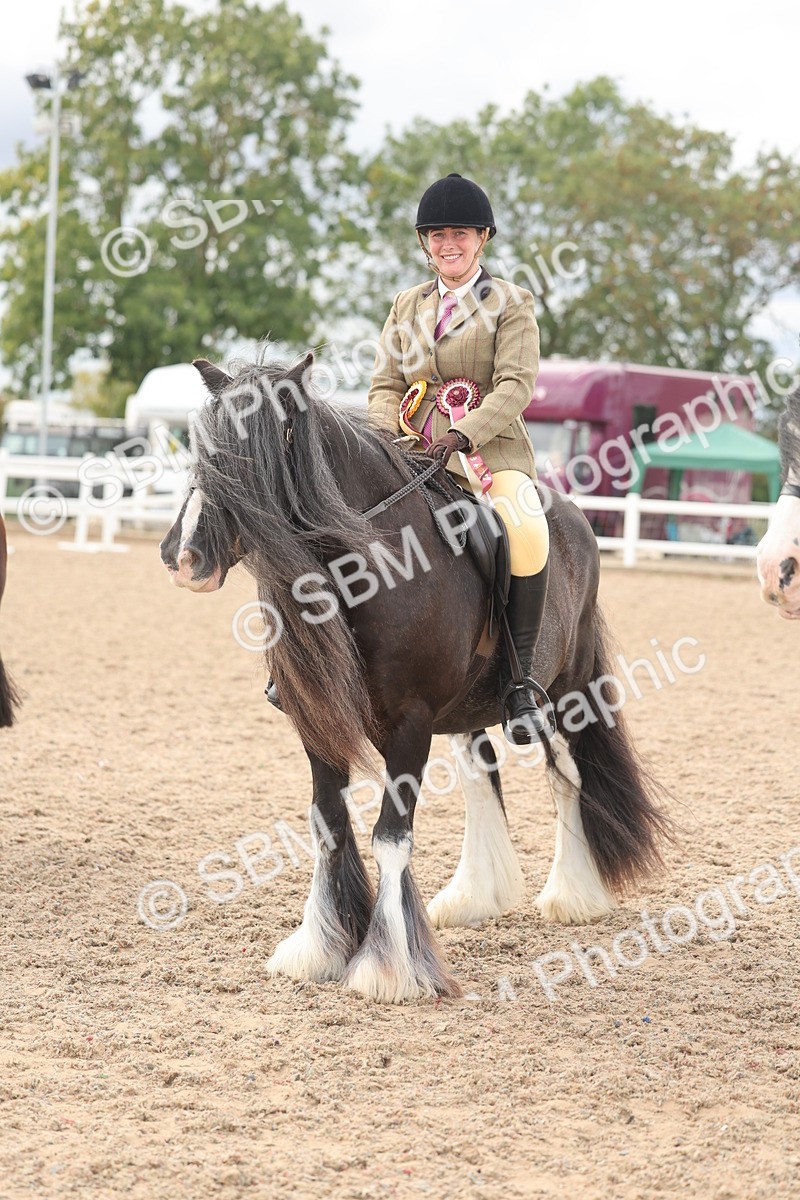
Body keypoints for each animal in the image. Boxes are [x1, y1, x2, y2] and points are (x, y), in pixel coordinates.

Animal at [160, 353, 672, 1003]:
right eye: (200, 444)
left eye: (257, 449)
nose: (183, 557)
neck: (369, 561)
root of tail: (575, 517)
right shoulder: (317, 722)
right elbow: (328, 823)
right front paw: (320, 948)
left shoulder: (410, 723)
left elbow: (390, 836)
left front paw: (388, 969)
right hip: (468, 709)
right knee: (483, 774)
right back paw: (475, 895)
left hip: (565, 693)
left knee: (569, 776)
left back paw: (572, 894)